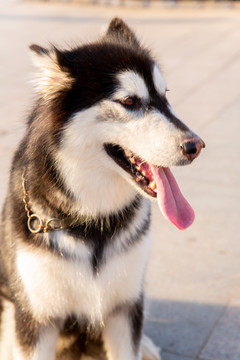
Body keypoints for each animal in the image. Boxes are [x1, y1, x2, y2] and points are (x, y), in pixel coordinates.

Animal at [0, 17, 204, 360]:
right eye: (130, 101)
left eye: (165, 95)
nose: (196, 146)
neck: (92, 219)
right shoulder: (37, 317)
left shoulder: (124, 309)